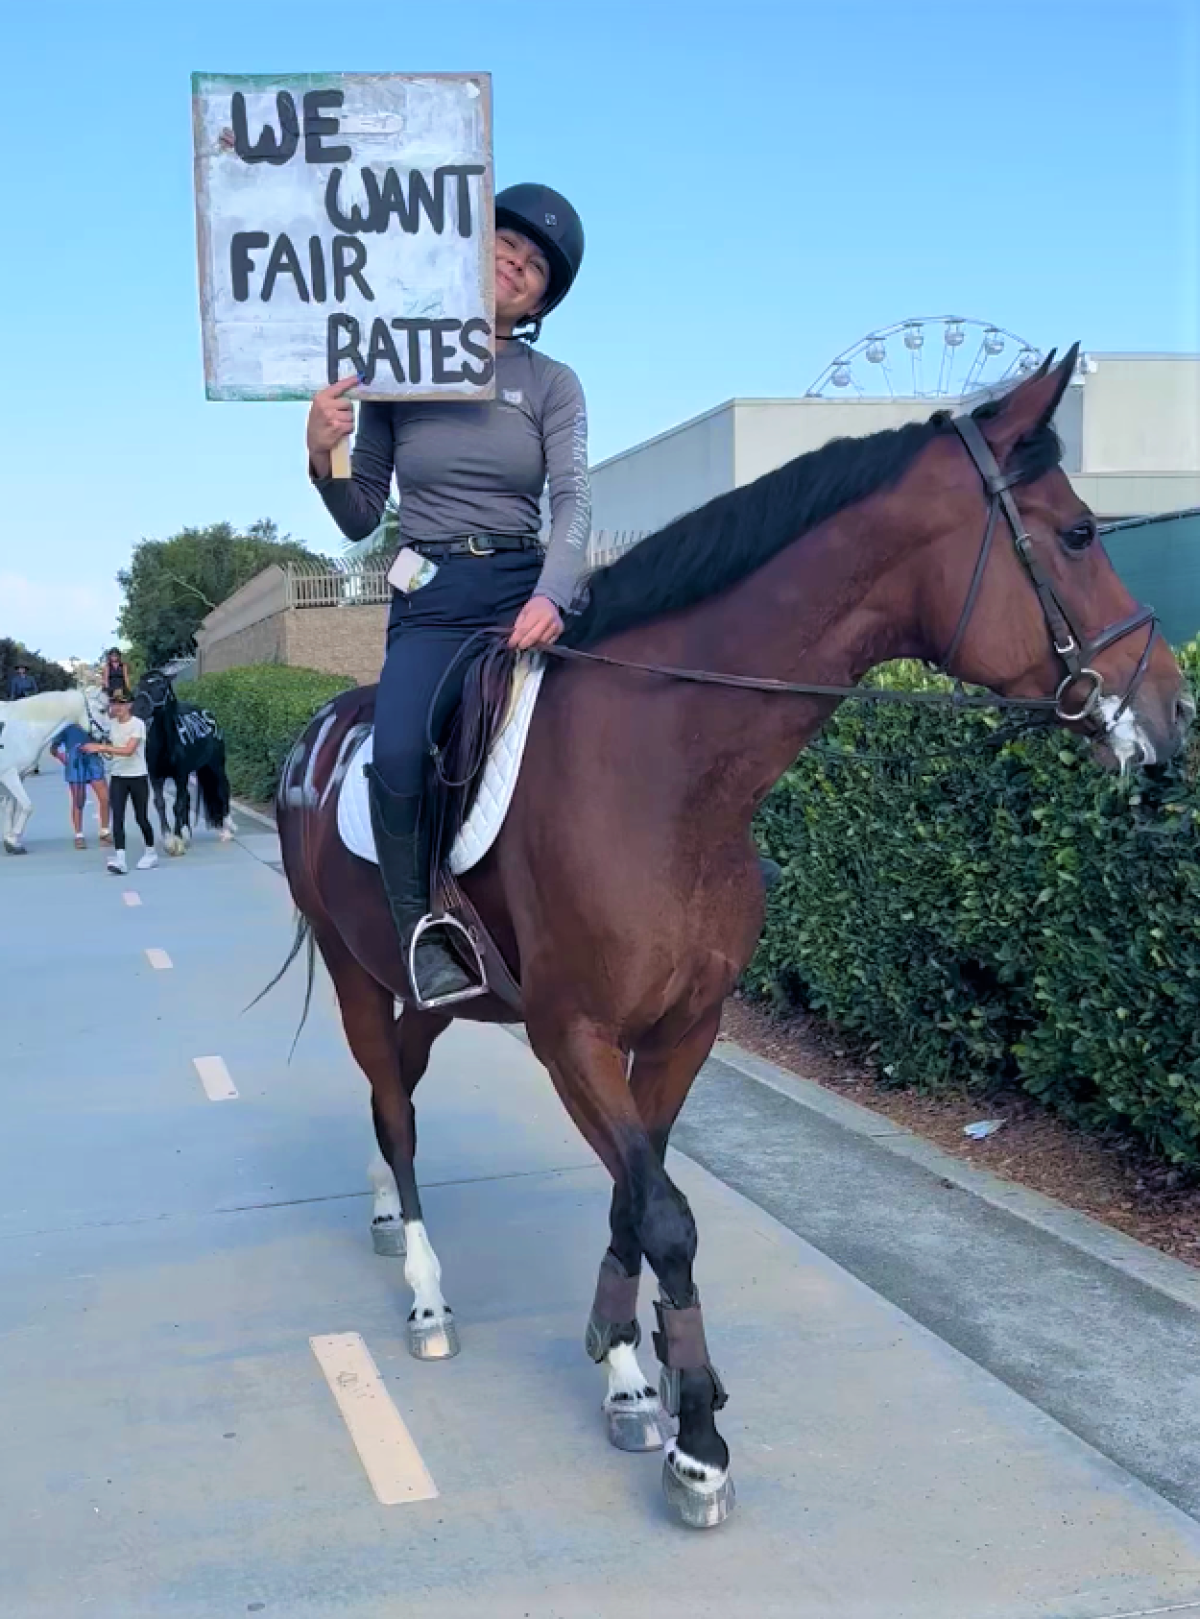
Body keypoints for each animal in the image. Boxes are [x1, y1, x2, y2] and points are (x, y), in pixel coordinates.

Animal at [0, 686, 108, 854]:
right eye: (102, 710)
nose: (108, 737)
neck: (24, 729)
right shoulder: (8, 775)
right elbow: (27, 806)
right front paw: (13, 840)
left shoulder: (18, 776)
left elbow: (11, 808)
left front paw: (10, 842)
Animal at [131, 667, 234, 854]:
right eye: (138, 686)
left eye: (161, 686)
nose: (138, 709)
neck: (166, 744)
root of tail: (208, 713)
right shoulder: (156, 776)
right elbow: (161, 803)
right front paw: (169, 838)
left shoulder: (180, 775)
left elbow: (178, 805)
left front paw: (177, 839)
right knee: (187, 797)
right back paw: (187, 832)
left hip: (216, 765)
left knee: (223, 788)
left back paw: (227, 828)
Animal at [273, 354, 1191, 1528]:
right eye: (1077, 534)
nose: (1170, 712)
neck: (666, 763)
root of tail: (316, 733)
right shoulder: (571, 1034)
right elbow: (666, 1215)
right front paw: (697, 1436)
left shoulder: (682, 1028)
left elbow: (635, 1195)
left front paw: (627, 1368)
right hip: (356, 971)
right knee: (393, 1106)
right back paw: (427, 1293)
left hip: (438, 993)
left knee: (399, 1088)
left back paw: (393, 1217)